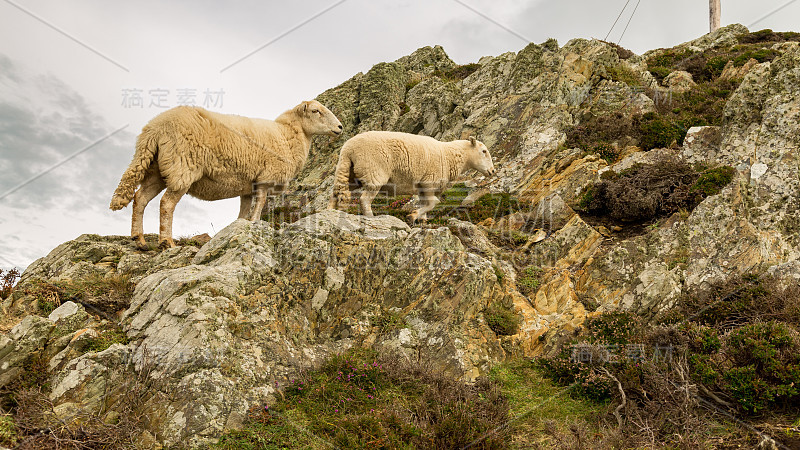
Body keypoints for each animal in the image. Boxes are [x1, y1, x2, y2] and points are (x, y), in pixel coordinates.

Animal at [108, 100, 340, 248]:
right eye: (316, 111)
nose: (339, 127)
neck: (287, 134)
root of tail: (154, 128)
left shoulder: (248, 185)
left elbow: (243, 212)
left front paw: (242, 226)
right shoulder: (265, 177)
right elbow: (260, 205)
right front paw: (255, 224)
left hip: (157, 168)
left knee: (140, 198)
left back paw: (139, 240)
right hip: (182, 166)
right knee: (166, 203)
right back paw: (167, 242)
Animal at [326, 130, 494, 221]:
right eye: (484, 151)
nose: (492, 172)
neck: (449, 155)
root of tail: (348, 149)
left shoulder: (422, 186)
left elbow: (425, 204)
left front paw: (422, 220)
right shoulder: (429, 181)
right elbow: (433, 203)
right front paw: (412, 216)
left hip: (349, 172)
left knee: (335, 193)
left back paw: (330, 212)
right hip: (374, 172)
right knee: (364, 200)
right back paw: (371, 217)